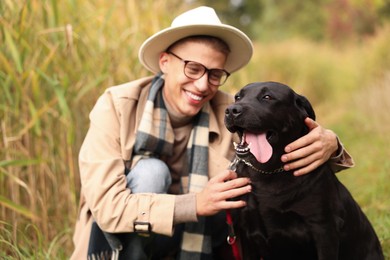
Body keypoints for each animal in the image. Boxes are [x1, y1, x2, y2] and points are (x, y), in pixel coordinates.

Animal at [224, 82, 382, 260]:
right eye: (238, 97)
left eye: (267, 97)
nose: (231, 110)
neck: (267, 173)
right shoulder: (245, 233)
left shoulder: (324, 228)